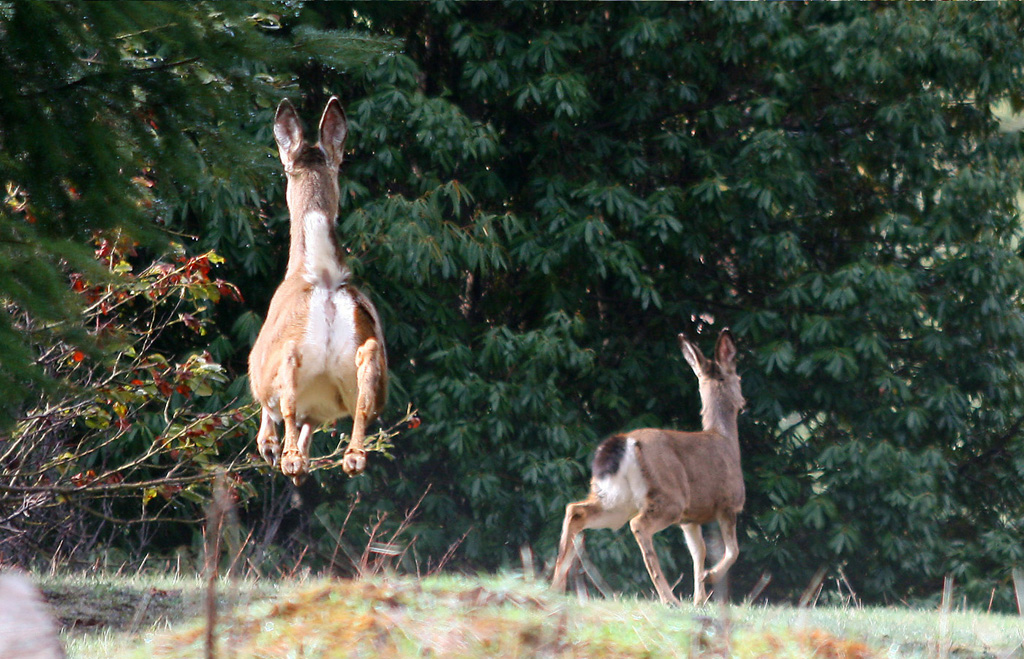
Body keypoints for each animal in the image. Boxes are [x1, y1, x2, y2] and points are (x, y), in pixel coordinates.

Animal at [248, 97, 387, 486]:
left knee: (285, 396)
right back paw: (351, 457)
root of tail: (325, 282)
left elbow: (273, 410)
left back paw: (288, 459)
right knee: (364, 397)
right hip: (367, 361)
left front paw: (269, 446)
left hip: (280, 355)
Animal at [551, 329, 745, 606]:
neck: (725, 439)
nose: (744, 402)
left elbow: (699, 551)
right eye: (738, 377)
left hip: (616, 500)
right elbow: (732, 550)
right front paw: (710, 578)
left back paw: (555, 586)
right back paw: (669, 598)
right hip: (669, 497)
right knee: (638, 525)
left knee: (576, 510)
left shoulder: (690, 518)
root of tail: (626, 442)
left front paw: (699, 598)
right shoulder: (728, 503)